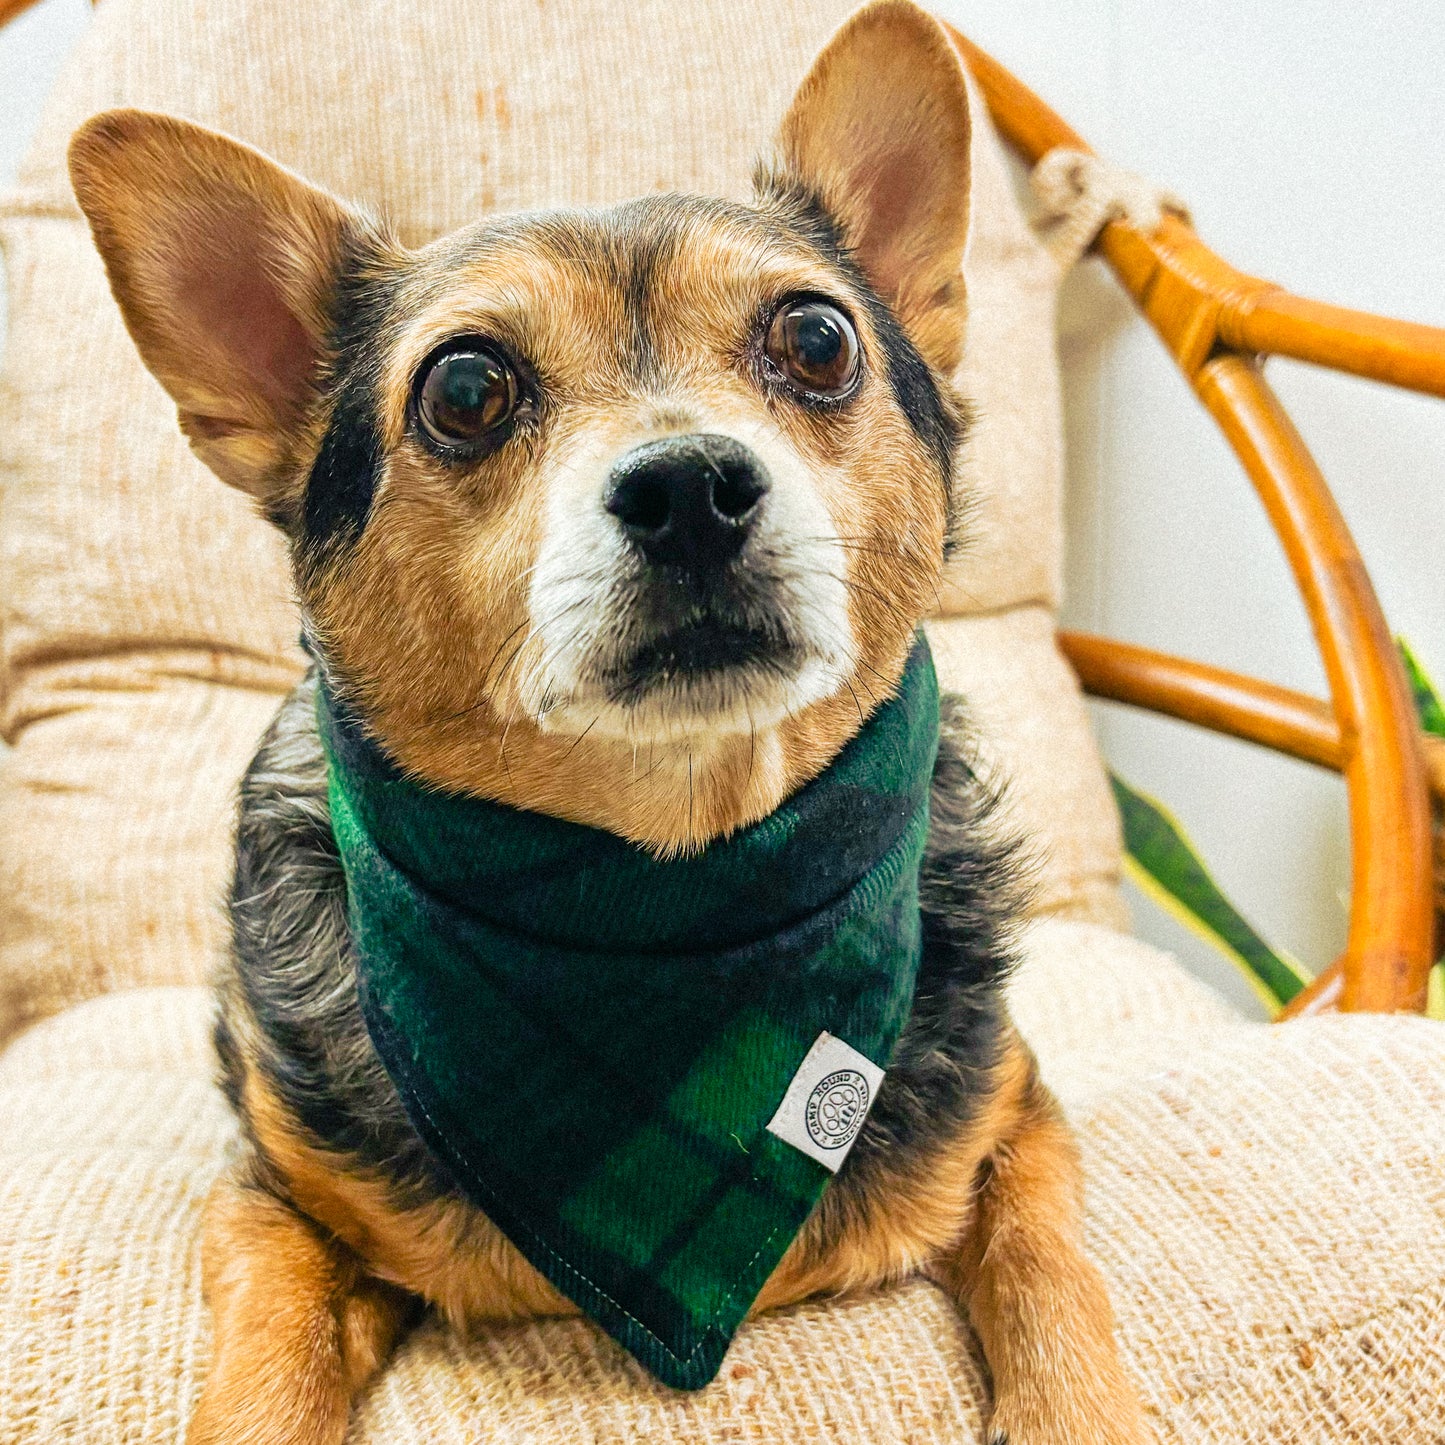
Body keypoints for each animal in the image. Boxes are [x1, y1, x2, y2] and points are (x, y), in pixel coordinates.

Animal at [67, 5, 1156, 1439]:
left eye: (819, 342)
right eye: (464, 389)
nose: (691, 486)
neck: (670, 890)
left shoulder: (1015, 1113)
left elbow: (1053, 1276)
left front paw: (1079, 1403)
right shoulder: (271, 1202)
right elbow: (268, 1361)